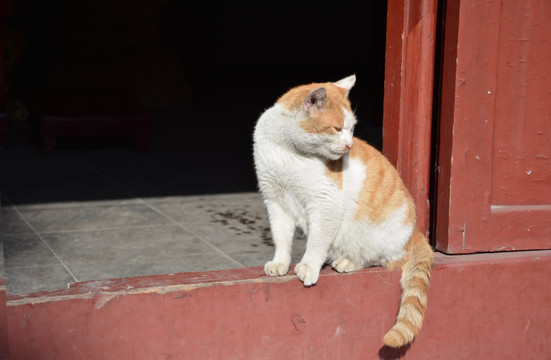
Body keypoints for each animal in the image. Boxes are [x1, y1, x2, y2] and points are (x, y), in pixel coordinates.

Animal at [252, 74, 434, 348]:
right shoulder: (275, 201)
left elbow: (317, 242)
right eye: (338, 129)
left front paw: (309, 266)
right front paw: (280, 263)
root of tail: (417, 233)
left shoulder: (325, 204)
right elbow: (281, 237)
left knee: (384, 259)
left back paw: (348, 261)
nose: (349, 145)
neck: (289, 153)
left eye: (351, 129)